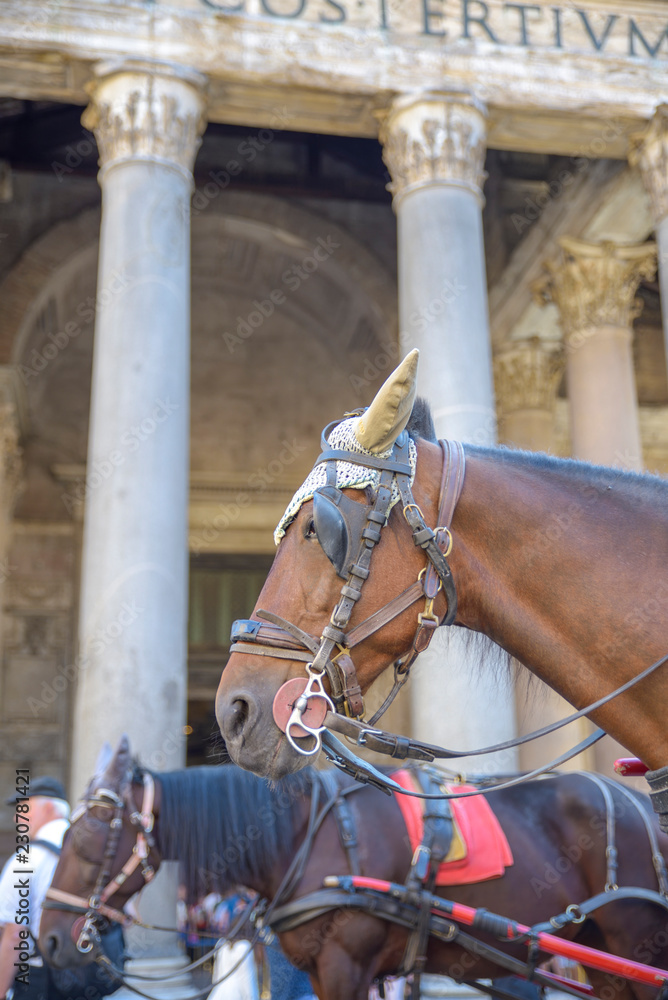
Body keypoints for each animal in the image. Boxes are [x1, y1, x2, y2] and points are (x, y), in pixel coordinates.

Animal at [39, 736, 668, 1000]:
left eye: (88, 838)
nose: (48, 940)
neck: (305, 837)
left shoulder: (347, 963)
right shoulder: (327, 971)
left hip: (636, 941)